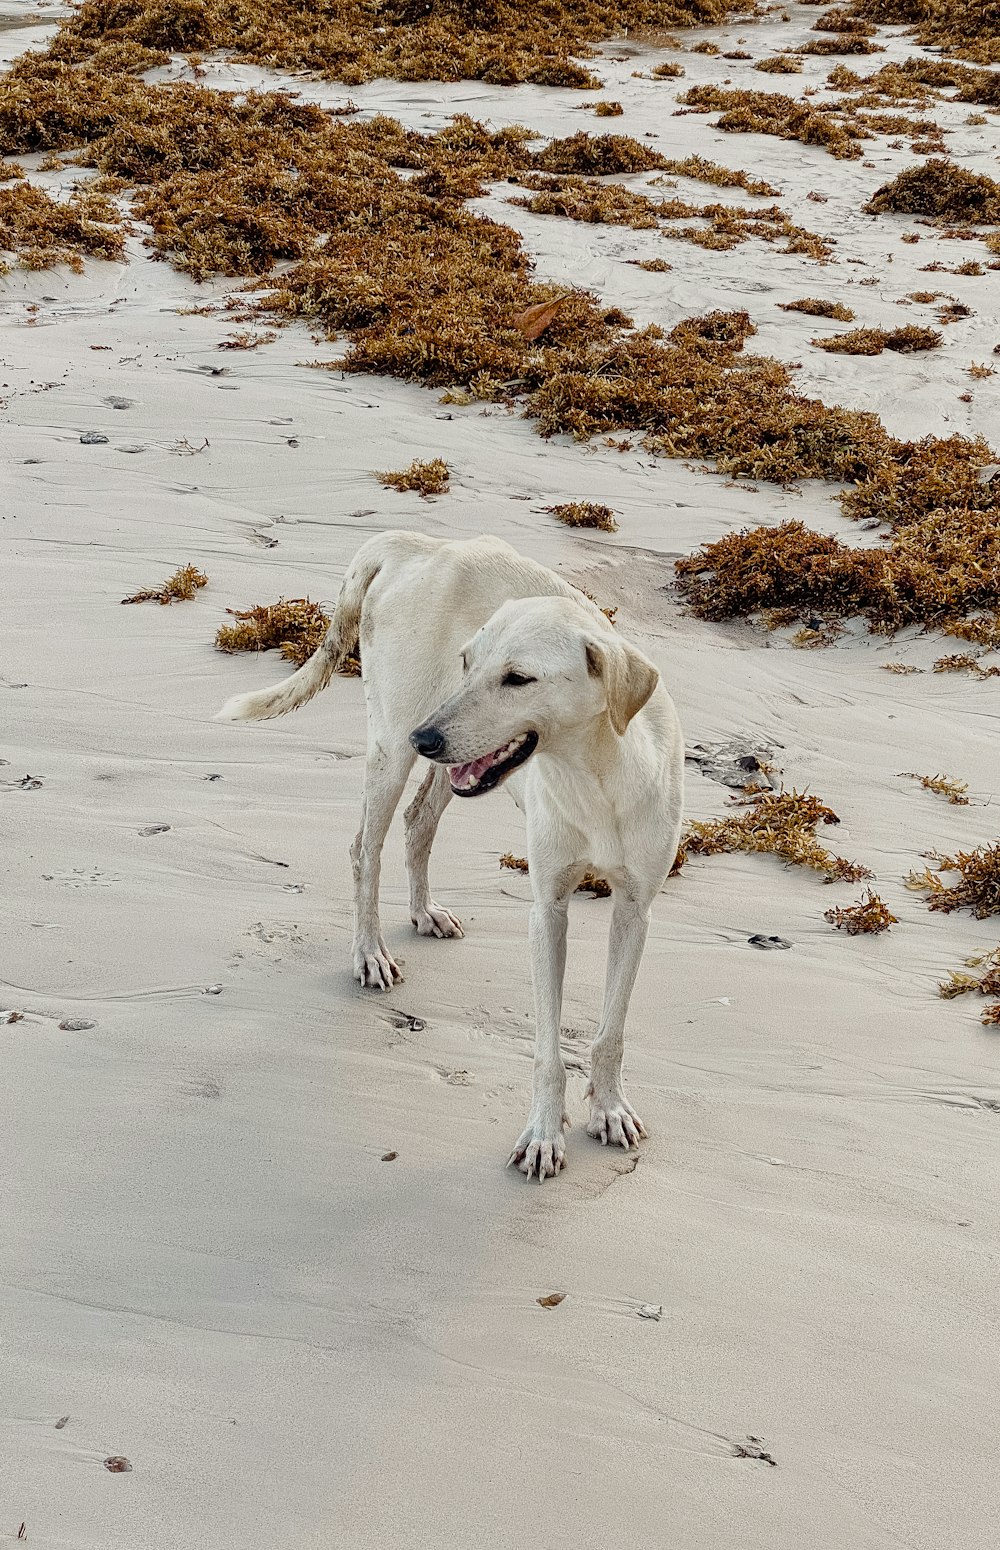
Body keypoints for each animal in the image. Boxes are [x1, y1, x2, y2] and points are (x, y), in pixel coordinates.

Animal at [217, 530, 682, 1171]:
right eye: (469, 662)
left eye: (518, 678)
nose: (426, 738)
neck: (596, 775)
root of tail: (418, 543)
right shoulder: (548, 913)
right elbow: (547, 1048)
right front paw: (544, 1133)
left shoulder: (635, 911)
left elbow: (611, 1029)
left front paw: (608, 1109)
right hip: (392, 745)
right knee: (365, 848)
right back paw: (370, 954)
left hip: (453, 767)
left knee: (418, 823)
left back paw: (422, 912)